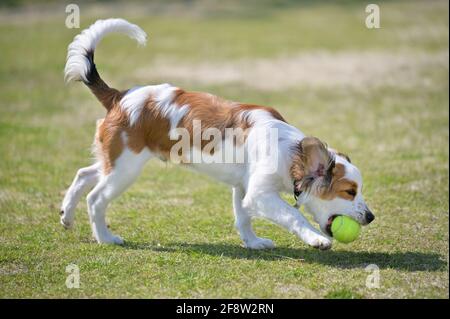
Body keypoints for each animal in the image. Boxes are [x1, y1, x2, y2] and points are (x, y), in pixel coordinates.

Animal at [60, 19, 376, 250]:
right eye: (349, 192)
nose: (371, 217)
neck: (289, 150)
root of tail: (120, 96)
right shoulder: (260, 193)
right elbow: (292, 214)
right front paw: (316, 239)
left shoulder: (243, 187)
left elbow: (243, 217)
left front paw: (253, 243)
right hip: (125, 168)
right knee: (96, 198)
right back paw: (105, 238)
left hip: (115, 162)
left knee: (83, 173)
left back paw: (66, 214)